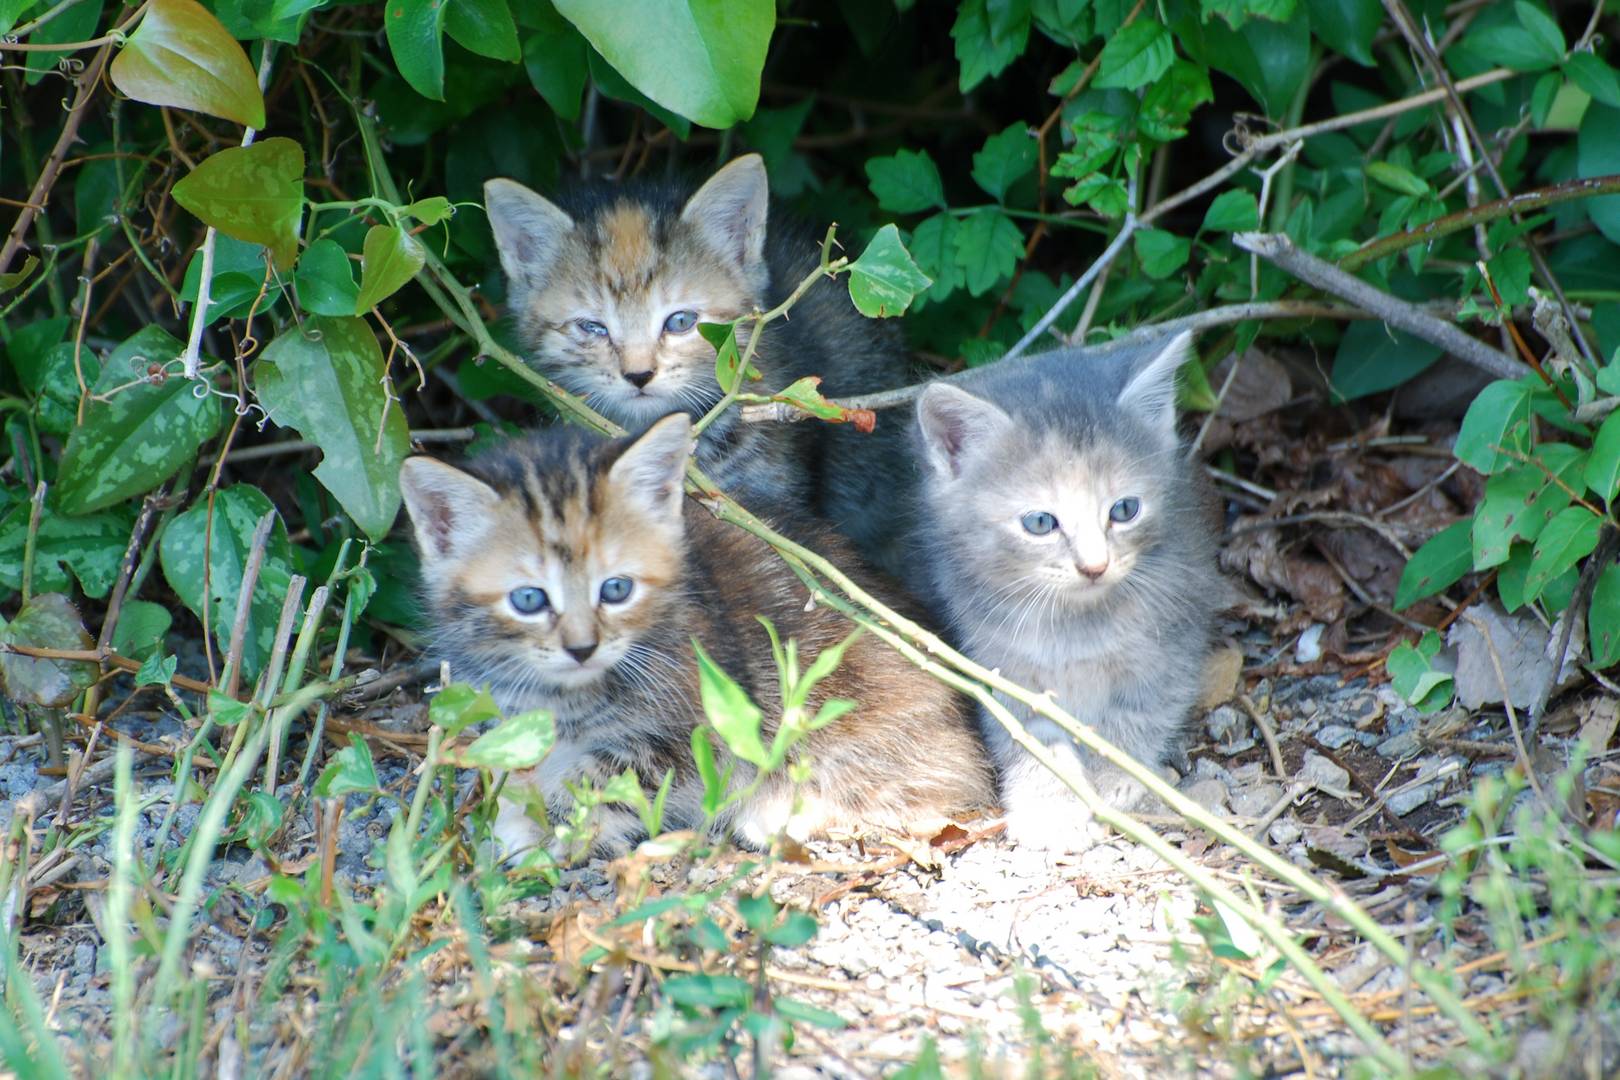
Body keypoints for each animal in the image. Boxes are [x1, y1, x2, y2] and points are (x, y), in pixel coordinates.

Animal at [398, 409, 991, 854]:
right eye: (528, 599)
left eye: (616, 589)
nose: (582, 647)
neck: (567, 697)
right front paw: (514, 813)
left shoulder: (692, 730)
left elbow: (596, 779)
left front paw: (553, 831)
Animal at [920, 333, 1218, 848]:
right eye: (1041, 522)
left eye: (1124, 509)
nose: (1094, 565)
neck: (1075, 625)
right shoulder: (1002, 667)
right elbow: (1031, 736)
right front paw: (1052, 806)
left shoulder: (1173, 644)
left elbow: (1137, 712)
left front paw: (1108, 775)